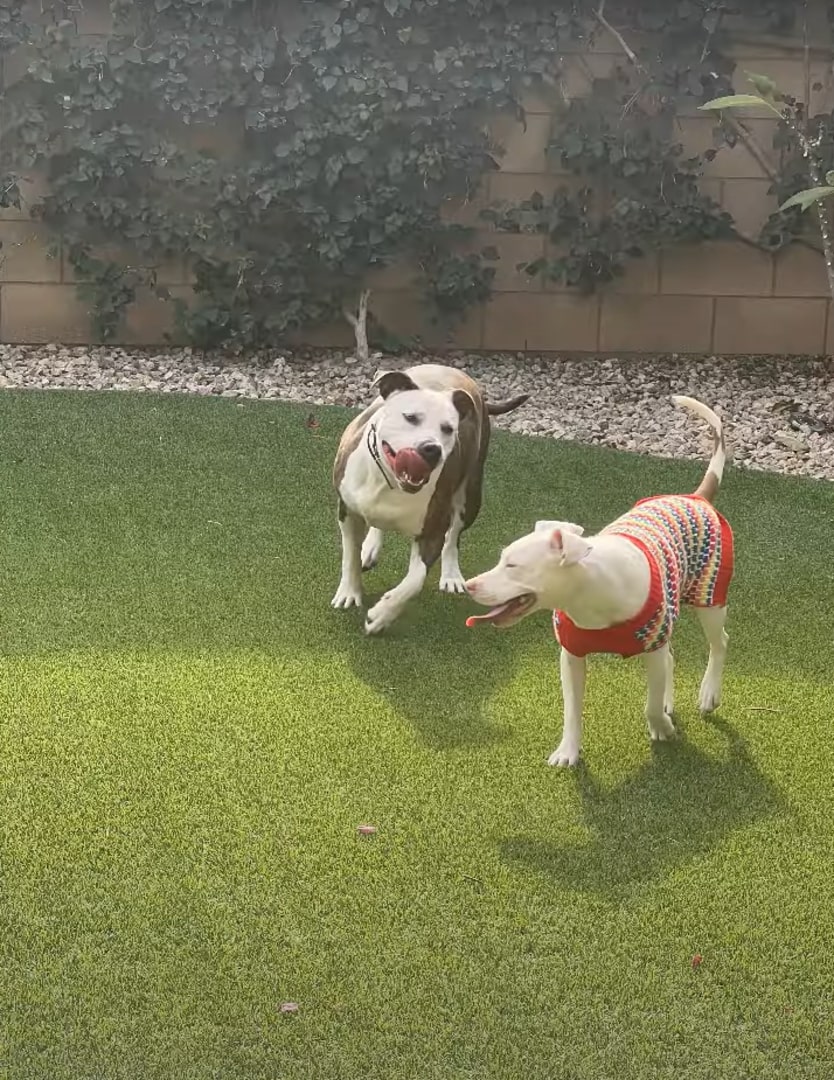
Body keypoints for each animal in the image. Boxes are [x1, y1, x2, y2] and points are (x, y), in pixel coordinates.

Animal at [332, 362, 527, 630]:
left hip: (471, 495)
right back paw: (369, 547)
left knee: (454, 537)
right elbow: (349, 555)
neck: (389, 482)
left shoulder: (433, 532)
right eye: (411, 417)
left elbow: (414, 581)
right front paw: (349, 593)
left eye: (448, 429)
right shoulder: (347, 512)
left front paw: (382, 614)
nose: (431, 448)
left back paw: (451, 574)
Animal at [466, 399, 734, 768]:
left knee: (719, 642)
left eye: (512, 565)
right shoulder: (571, 655)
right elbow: (571, 709)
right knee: (672, 656)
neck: (589, 594)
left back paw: (709, 692)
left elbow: (649, 702)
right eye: (500, 559)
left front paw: (661, 727)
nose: (468, 585)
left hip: (710, 595)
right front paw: (568, 750)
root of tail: (696, 497)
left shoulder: (651, 643)